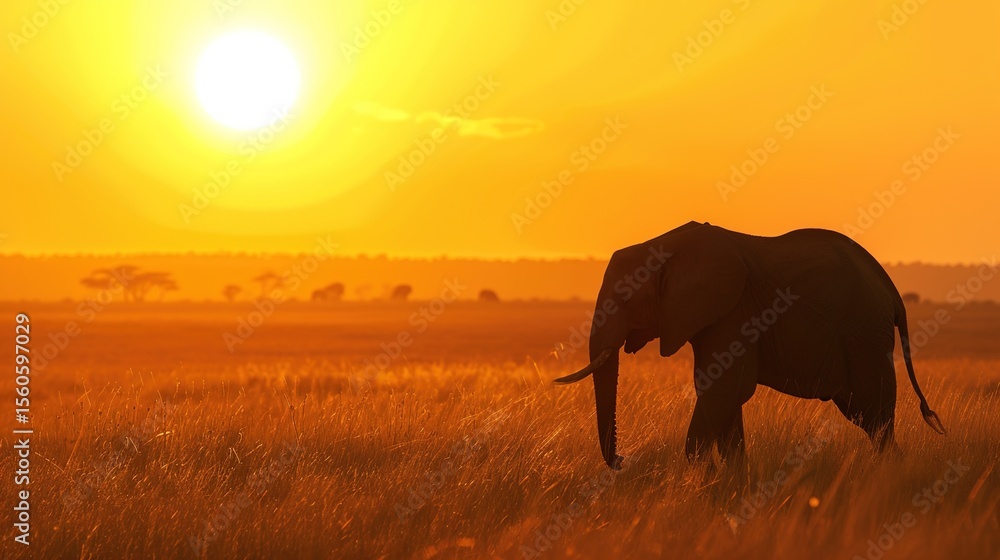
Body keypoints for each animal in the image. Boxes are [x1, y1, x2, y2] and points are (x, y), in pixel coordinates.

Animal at [555, 221, 945, 470]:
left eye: (625, 298)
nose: (622, 460)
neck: (666, 245)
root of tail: (893, 292)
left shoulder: (733, 312)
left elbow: (724, 389)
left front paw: (705, 479)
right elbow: (720, 394)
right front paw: (730, 482)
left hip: (864, 333)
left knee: (876, 417)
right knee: (867, 417)